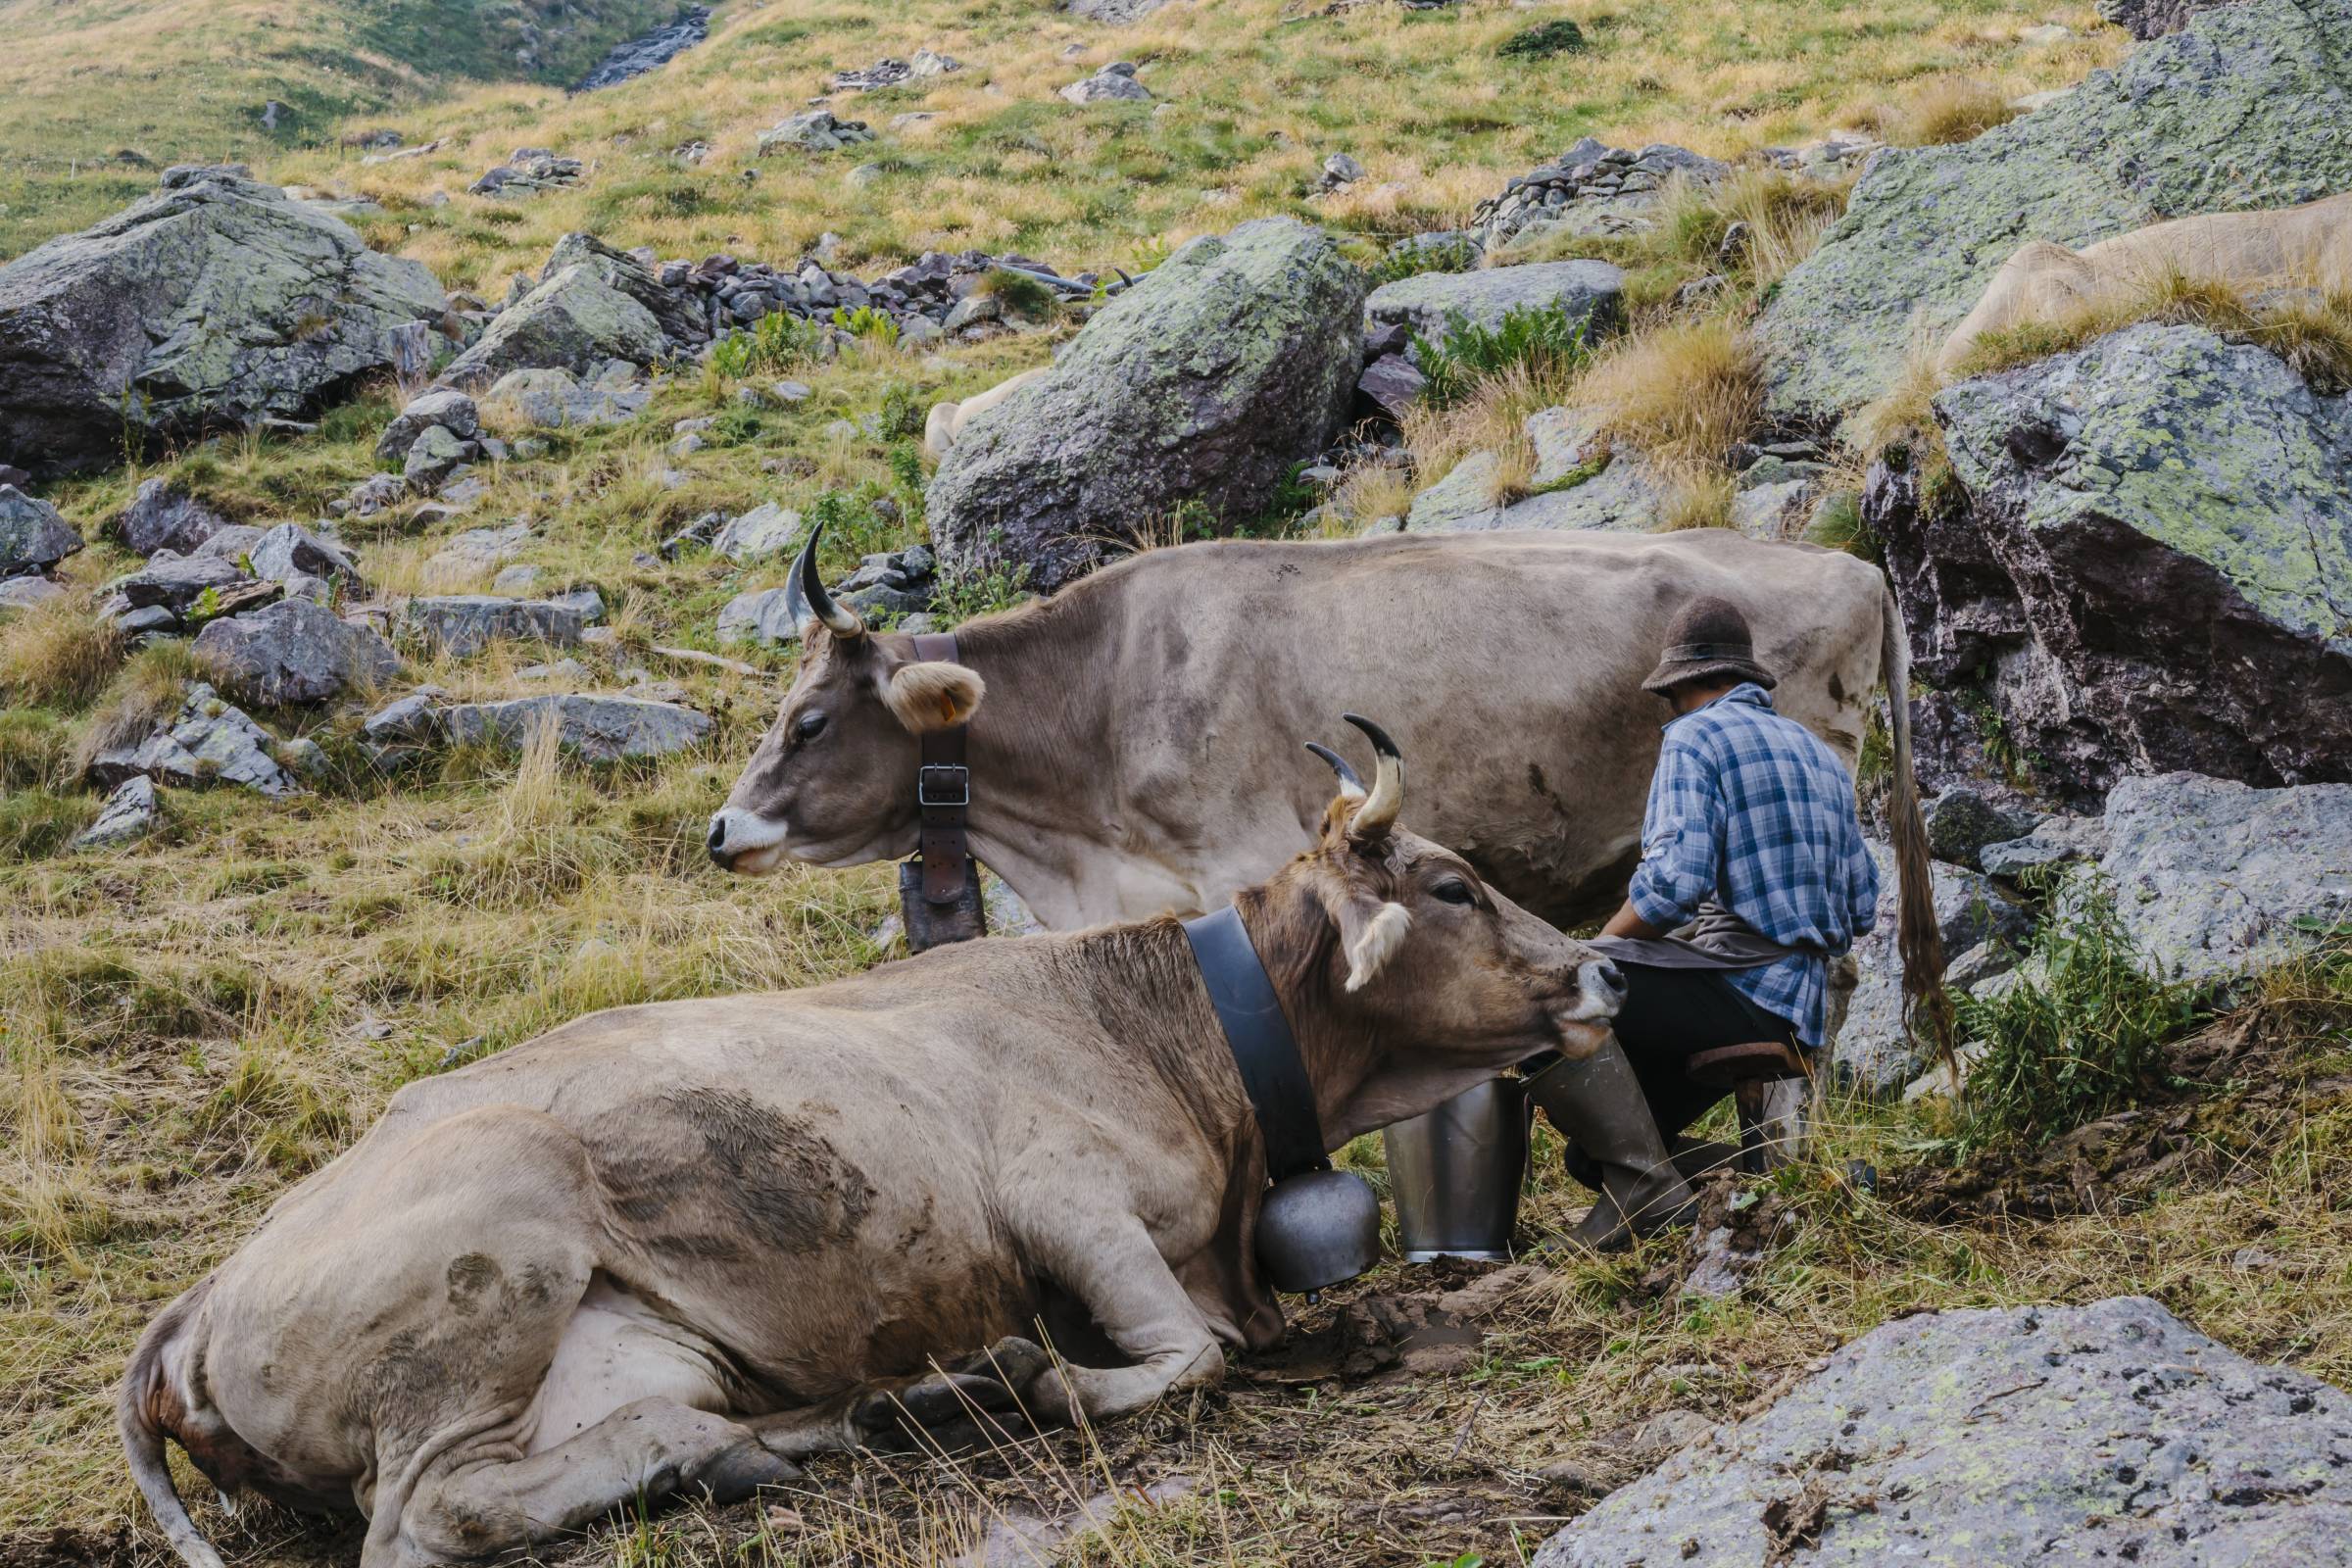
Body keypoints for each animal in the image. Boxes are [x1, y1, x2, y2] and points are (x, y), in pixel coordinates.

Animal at [123, 738, 1618, 1568]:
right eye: (1452, 886)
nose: (1600, 969)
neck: (1169, 1036)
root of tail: (202, 1292)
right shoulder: (1065, 1203)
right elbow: (1186, 1356)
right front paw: (1049, 1377)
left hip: (654, 1338)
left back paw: (844, 1419)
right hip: (499, 1256)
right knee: (427, 1520)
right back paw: (828, 1422)